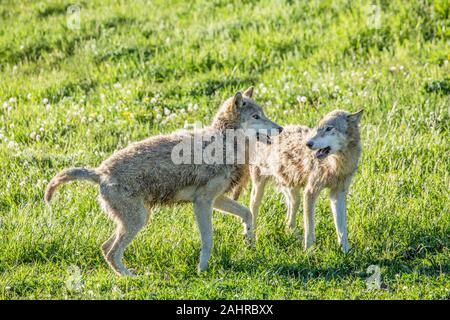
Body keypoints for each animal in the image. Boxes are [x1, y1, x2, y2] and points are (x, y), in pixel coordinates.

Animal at [43, 88, 282, 278]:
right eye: (256, 116)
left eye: (263, 114)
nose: (280, 129)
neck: (225, 144)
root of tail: (100, 172)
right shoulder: (202, 202)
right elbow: (208, 240)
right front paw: (202, 270)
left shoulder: (216, 199)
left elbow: (248, 214)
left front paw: (249, 240)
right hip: (137, 222)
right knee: (111, 252)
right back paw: (132, 278)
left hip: (136, 220)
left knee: (104, 247)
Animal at [248, 110, 364, 252]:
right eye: (317, 128)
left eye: (329, 128)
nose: (308, 144)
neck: (335, 166)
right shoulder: (310, 192)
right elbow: (309, 228)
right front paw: (309, 251)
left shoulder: (338, 194)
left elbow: (342, 229)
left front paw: (346, 251)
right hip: (259, 190)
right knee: (252, 211)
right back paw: (251, 241)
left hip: (295, 196)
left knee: (288, 222)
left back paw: (295, 239)